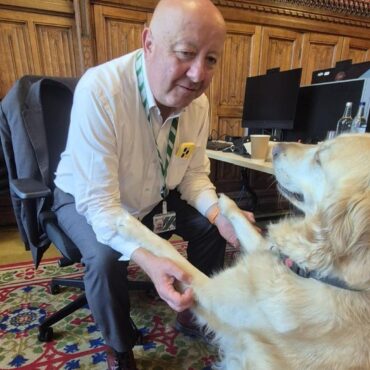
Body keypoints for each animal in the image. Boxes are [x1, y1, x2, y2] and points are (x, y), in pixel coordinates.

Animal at [119, 134, 370, 370]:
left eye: (319, 158)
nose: (275, 149)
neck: (315, 272)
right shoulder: (263, 250)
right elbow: (243, 223)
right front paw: (224, 202)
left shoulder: (213, 294)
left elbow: (166, 247)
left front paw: (129, 223)